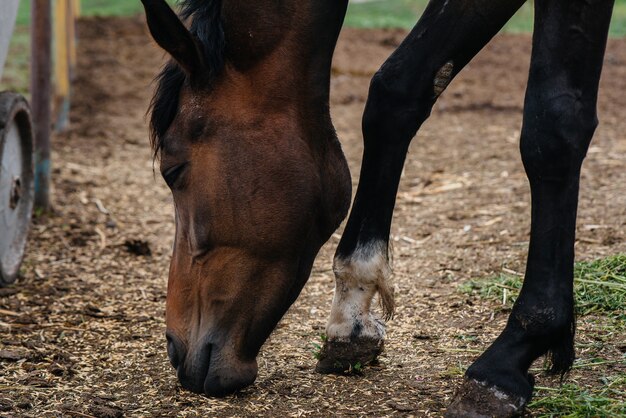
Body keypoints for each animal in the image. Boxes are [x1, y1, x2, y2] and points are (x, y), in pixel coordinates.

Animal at [139, 0, 612, 416]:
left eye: (173, 170)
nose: (175, 348)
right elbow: (396, 91)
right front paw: (352, 315)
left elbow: (552, 127)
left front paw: (513, 354)